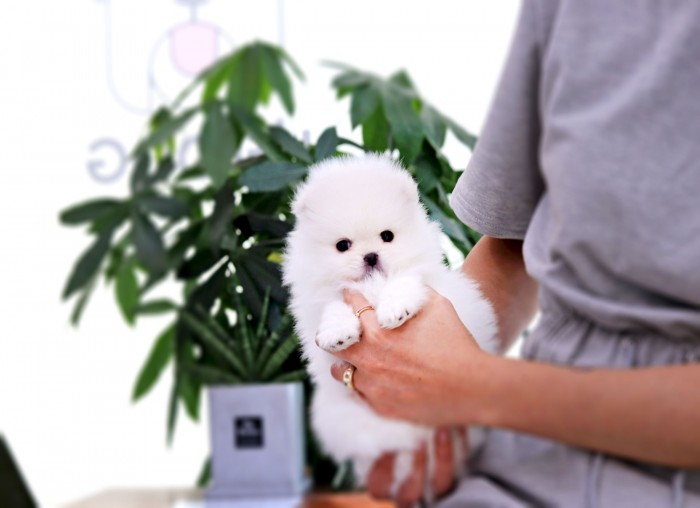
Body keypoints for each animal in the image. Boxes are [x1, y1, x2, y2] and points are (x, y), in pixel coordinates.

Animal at [282, 154, 497, 494]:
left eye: (387, 236)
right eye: (343, 245)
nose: (371, 256)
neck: (372, 286)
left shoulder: (421, 279)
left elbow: (404, 281)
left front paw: (395, 310)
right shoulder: (324, 298)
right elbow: (334, 306)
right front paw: (338, 332)